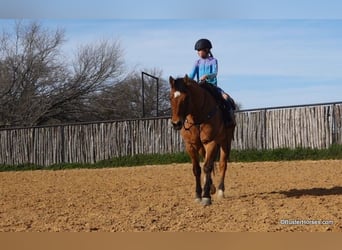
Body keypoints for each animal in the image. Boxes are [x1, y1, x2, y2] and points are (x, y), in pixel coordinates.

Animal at [168, 74, 235, 205]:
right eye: (170, 97)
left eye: (186, 97)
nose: (176, 123)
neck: (198, 118)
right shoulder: (191, 145)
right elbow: (197, 169)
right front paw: (198, 194)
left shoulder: (211, 142)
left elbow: (207, 167)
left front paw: (206, 197)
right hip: (201, 147)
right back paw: (211, 187)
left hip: (226, 142)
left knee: (222, 164)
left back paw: (220, 190)